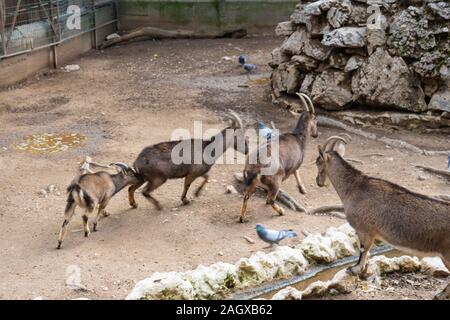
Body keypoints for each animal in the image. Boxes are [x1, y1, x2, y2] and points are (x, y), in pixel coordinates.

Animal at [316, 136, 450, 300]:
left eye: (317, 161)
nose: (318, 182)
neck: (354, 188)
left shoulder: (364, 230)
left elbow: (363, 249)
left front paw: (354, 269)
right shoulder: (371, 233)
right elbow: (368, 251)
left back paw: (441, 294)